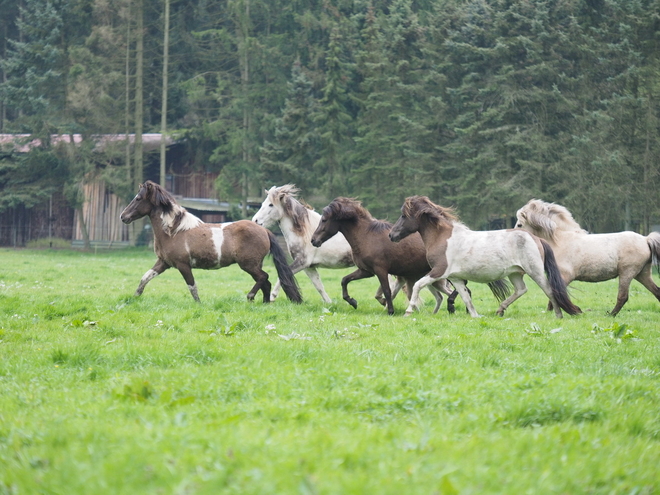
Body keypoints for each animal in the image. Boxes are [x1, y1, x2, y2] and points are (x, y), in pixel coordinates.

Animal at [120, 181, 302, 304]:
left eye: (138, 198)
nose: (123, 217)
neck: (174, 231)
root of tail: (264, 230)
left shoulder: (183, 265)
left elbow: (192, 287)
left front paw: (198, 304)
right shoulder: (164, 263)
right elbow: (145, 278)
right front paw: (134, 297)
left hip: (249, 265)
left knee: (264, 277)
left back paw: (250, 297)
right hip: (254, 265)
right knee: (266, 282)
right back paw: (263, 303)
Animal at [253, 184, 458, 312]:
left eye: (270, 205)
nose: (255, 221)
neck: (304, 230)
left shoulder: (302, 262)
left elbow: (284, 276)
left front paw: (272, 297)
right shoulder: (310, 267)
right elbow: (319, 286)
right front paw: (331, 302)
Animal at [310, 197, 510, 314]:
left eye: (324, 219)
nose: (313, 240)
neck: (366, 236)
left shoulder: (380, 270)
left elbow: (387, 291)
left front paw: (390, 311)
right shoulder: (366, 271)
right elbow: (344, 280)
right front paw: (352, 301)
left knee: (463, 288)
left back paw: (453, 306)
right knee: (462, 290)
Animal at [390, 196, 580, 320]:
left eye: (404, 215)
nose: (392, 235)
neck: (442, 237)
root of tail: (536, 238)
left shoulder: (438, 272)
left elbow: (417, 286)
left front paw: (408, 311)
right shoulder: (455, 278)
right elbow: (466, 297)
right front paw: (475, 316)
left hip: (536, 272)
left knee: (549, 290)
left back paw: (558, 315)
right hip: (515, 273)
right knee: (521, 289)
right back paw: (500, 310)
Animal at [516, 197, 660, 314]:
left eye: (519, 224)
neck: (561, 240)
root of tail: (646, 239)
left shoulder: (565, 276)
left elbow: (555, 294)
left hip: (627, 273)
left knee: (623, 297)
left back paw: (610, 315)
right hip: (642, 274)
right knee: (656, 291)